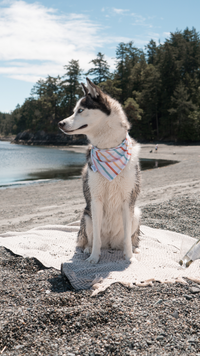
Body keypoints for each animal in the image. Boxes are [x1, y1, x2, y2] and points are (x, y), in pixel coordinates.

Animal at [58, 79, 141, 262]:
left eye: (81, 110)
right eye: (74, 110)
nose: (60, 123)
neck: (108, 147)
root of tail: (110, 243)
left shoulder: (127, 200)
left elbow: (127, 238)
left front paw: (129, 257)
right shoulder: (95, 200)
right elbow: (95, 236)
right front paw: (94, 258)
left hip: (136, 214)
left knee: (127, 238)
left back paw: (131, 249)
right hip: (87, 216)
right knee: (91, 238)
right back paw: (88, 249)